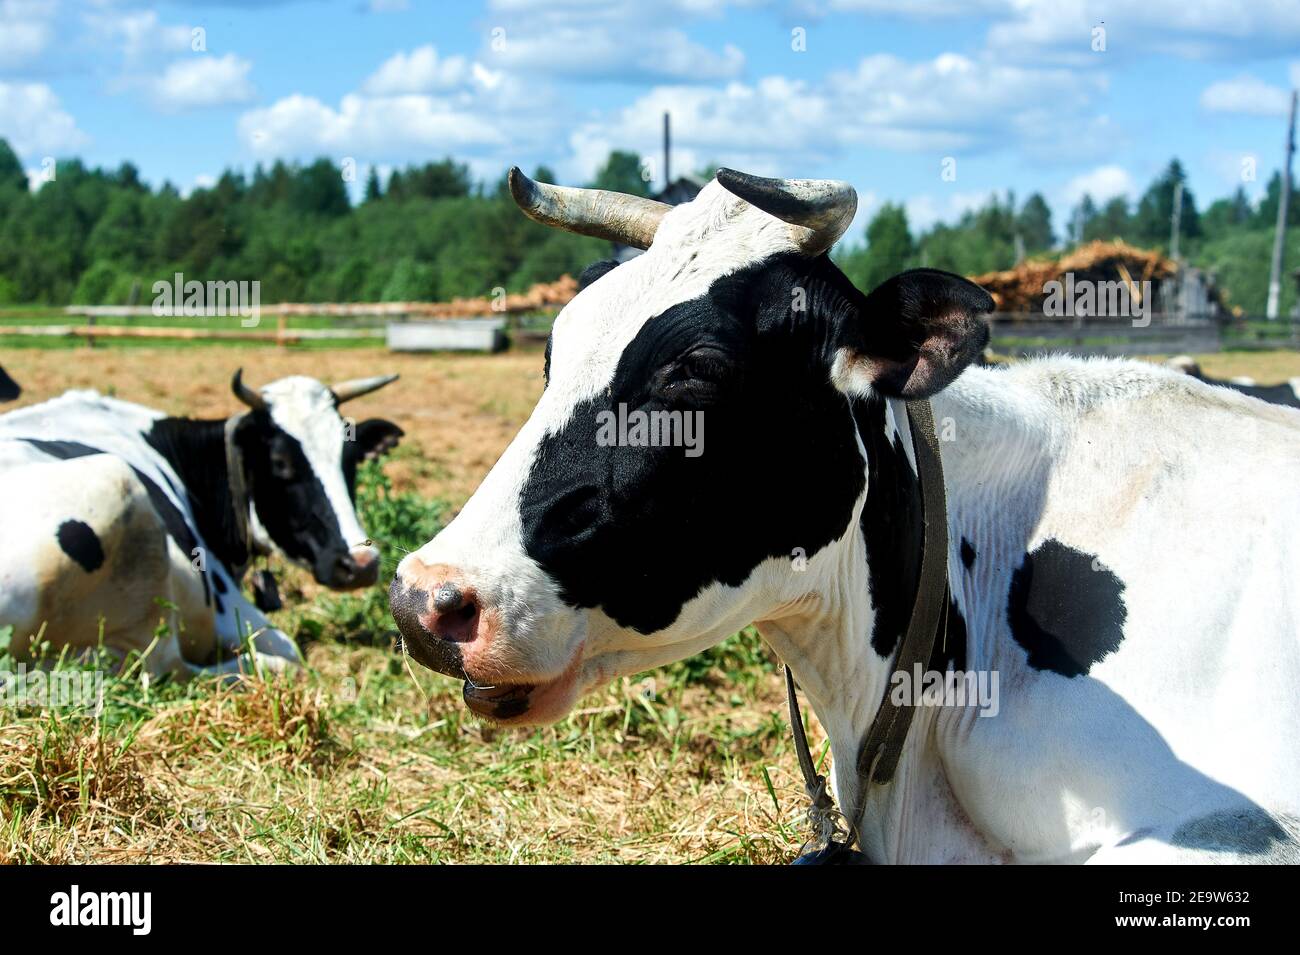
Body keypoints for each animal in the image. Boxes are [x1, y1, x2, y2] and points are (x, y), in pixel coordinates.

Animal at [0, 369, 400, 675]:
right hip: (117, 482)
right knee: (164, 668)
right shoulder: (228, 607)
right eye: (280, 463)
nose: (361, 563)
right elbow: (288, 645)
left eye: (350, 459)